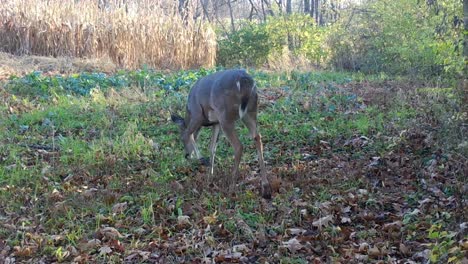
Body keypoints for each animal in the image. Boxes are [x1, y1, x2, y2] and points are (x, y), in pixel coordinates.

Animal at [172, 69, 272, 199]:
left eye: (180, 139)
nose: (186, 155)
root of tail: (244, 80)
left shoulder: (197, 114)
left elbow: (189, 135)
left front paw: (202, 160)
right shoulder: (216, 123)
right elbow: (212, 147)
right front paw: (210, 177)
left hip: (226, 116)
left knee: (239, 146)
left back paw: (231, 188)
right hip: (250, 111)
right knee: (257, 137)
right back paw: (265, 187)